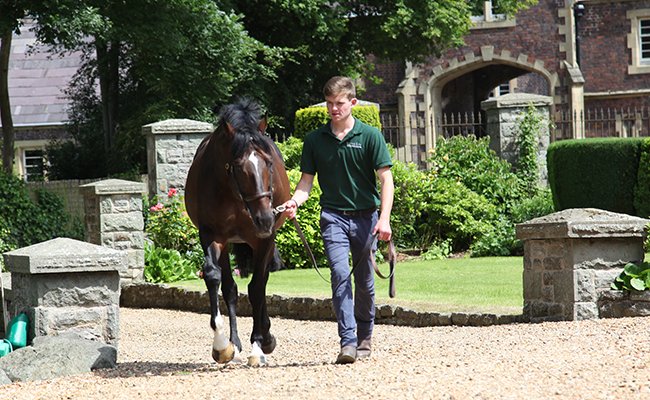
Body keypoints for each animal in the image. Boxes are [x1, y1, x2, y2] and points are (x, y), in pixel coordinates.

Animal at [184, 98, 290, 366]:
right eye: (239, 168)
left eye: (269, 163)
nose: (265, 218)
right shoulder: (211, 235)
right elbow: (214, 277)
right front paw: (222, 345)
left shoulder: (264, 240)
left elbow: (257, 287)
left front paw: (259, 345)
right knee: (230, 288)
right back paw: (236, 341)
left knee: (261, 283)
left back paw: (266, 336)